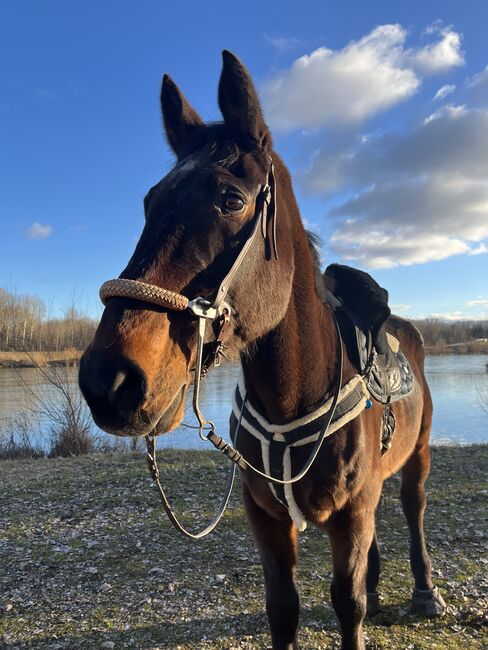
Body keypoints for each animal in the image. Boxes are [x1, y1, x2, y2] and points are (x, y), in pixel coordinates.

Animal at [79, 50, 446, 648]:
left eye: (231, 199)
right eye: (150, 202)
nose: (108, 380)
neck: (294, 397)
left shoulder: (351, 514)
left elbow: (348, 605)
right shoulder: (267, 518)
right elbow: (284, 608)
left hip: (417, 456)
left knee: (413, 509)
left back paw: (425, 590)